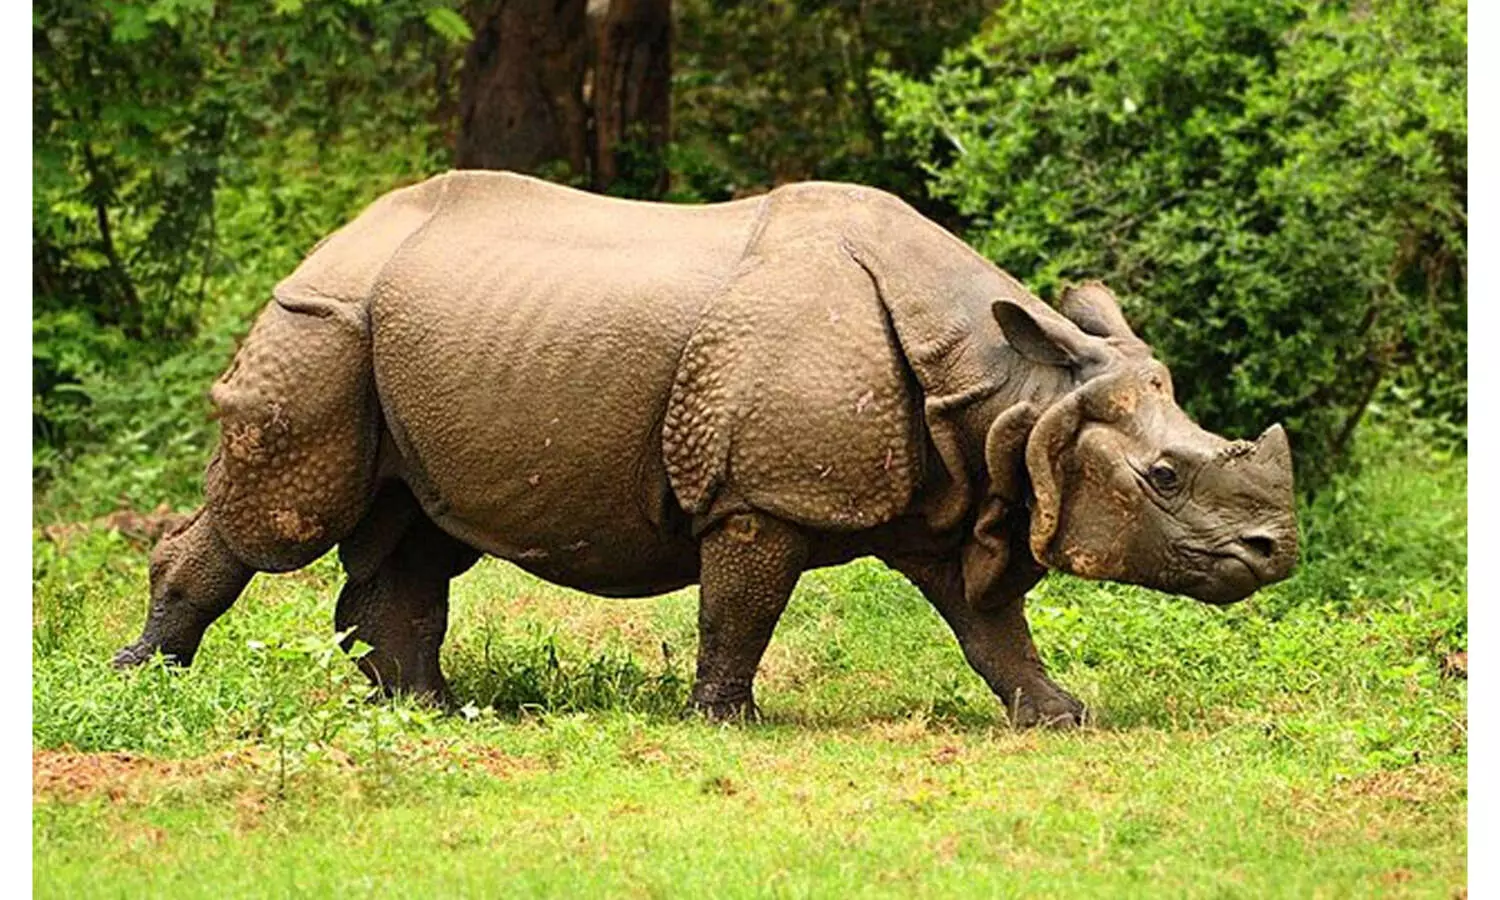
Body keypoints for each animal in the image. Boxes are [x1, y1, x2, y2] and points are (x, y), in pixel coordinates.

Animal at [113, 171, 1297, 727]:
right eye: (1165, 476)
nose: (1277, 551)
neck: (1011, 393)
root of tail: (337, 237)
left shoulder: (956, 492)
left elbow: (991, 626)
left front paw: (1063, 717)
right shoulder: (761, 494)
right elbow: (741, 609)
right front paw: (729, 722)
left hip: (406, 333)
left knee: (415, 531)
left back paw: (431, 712)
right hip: (322, 322)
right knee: (280, 518)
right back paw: (145, 683)